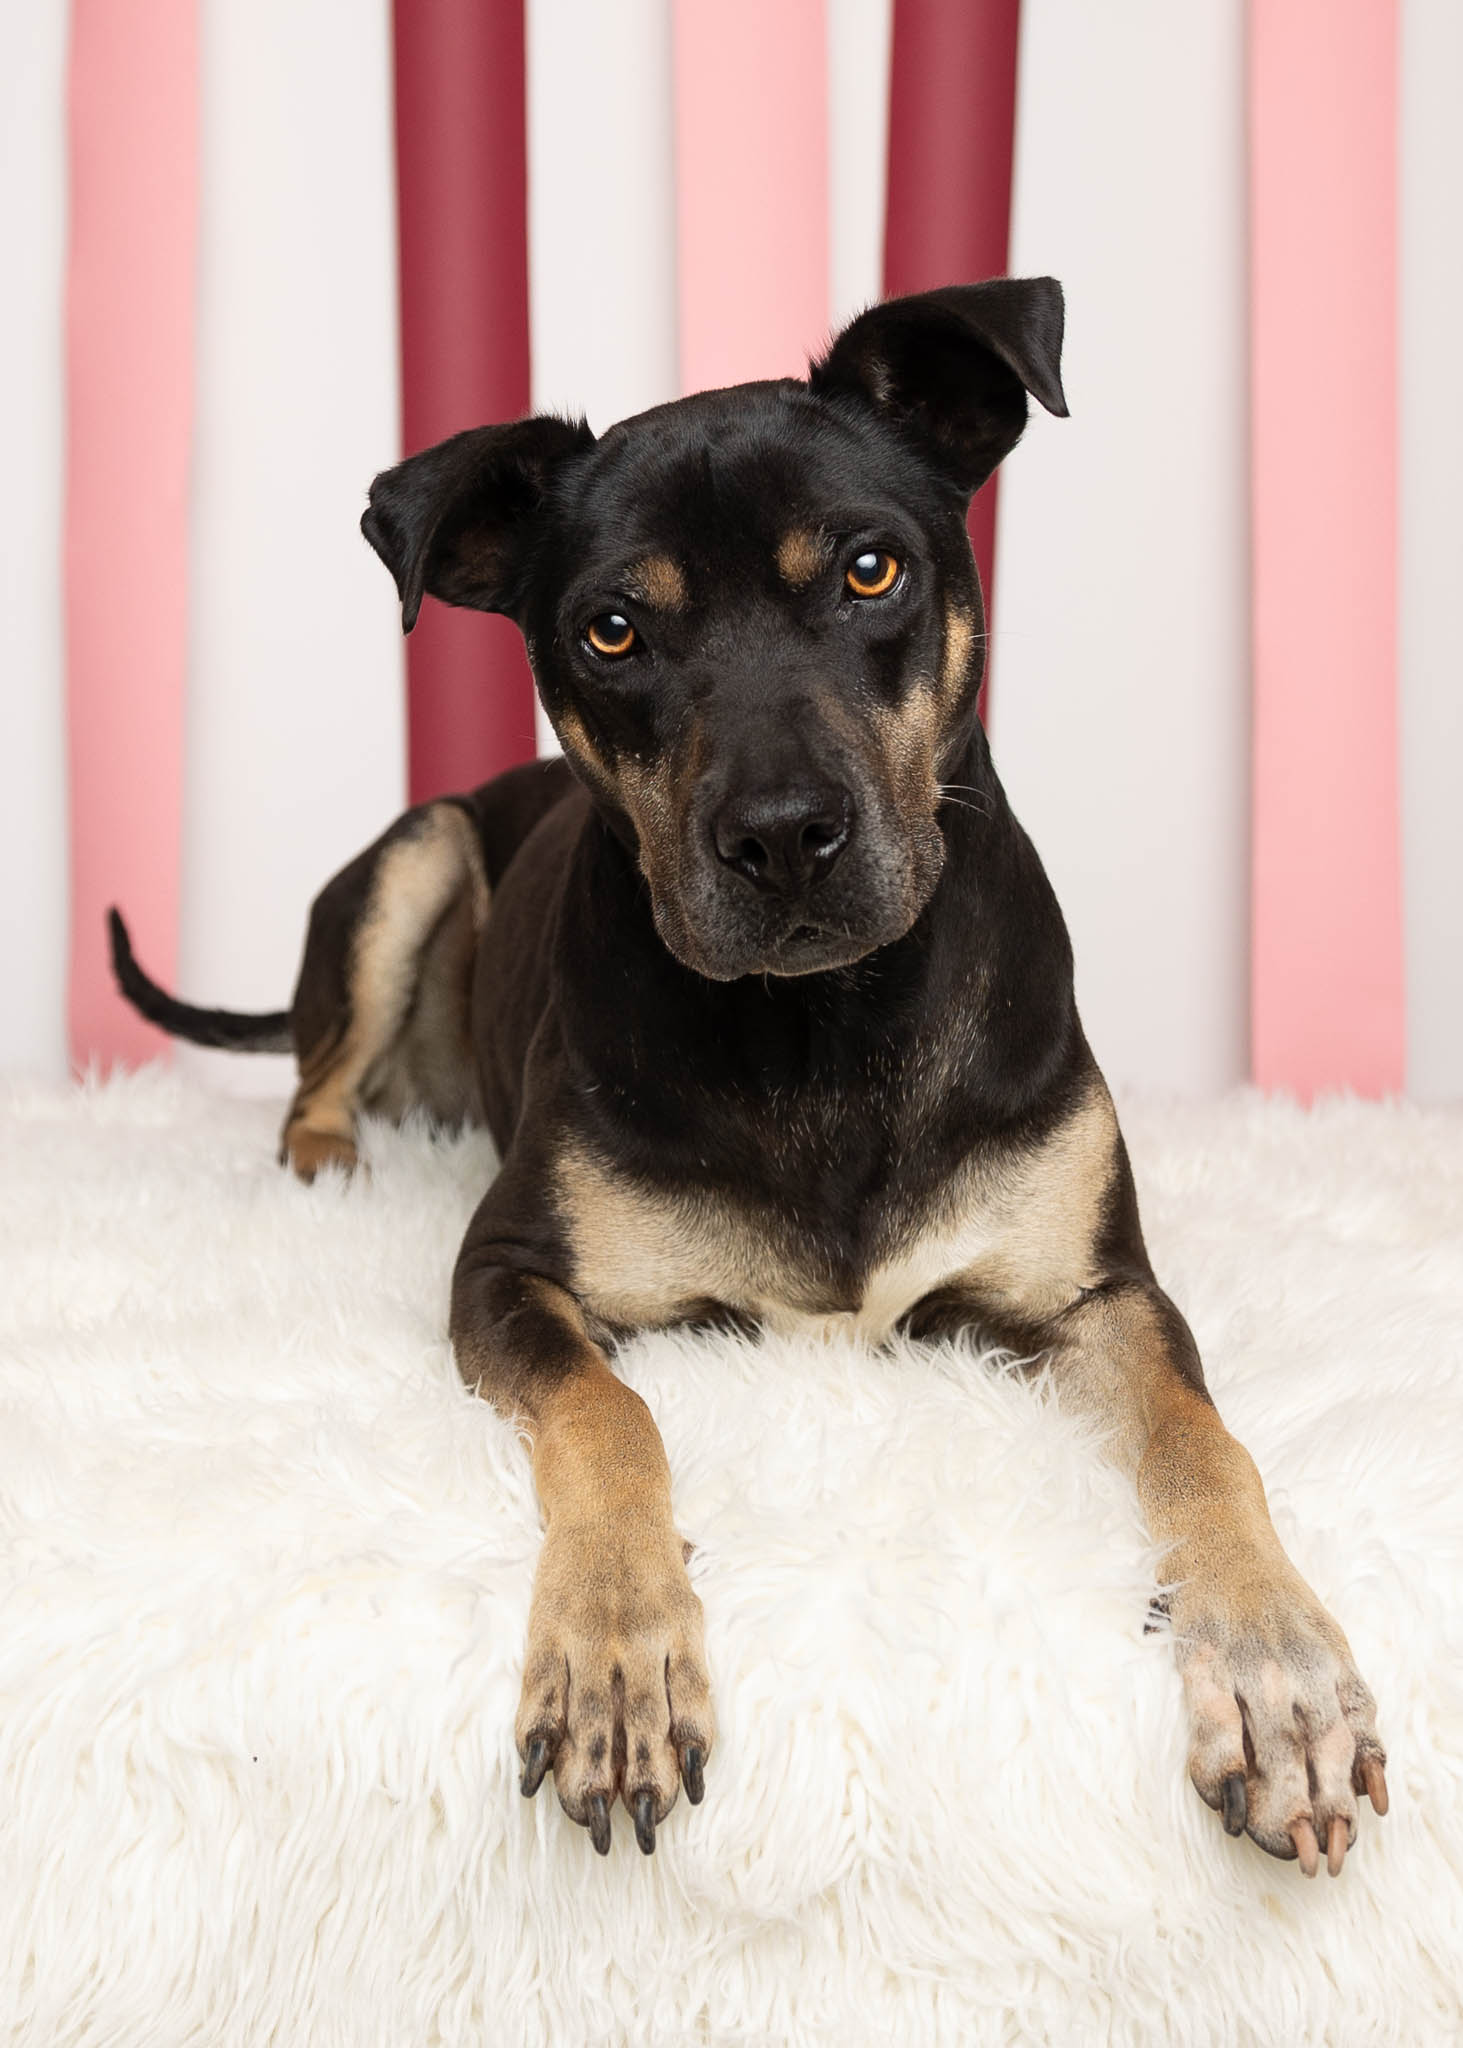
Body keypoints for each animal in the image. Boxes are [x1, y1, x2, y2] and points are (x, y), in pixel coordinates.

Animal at [111, 280, 1376, 1875]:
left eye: (867, 569)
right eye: (610, 629)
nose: (779, 836)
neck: (818, 1020)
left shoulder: (1094, 1296)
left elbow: (1206, 1445)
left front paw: (1277, 1670)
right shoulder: (507, 1273)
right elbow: (611, 1414)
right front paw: (615, 1653)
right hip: (417, 851)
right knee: (316, 1076)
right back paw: (324, 1167)